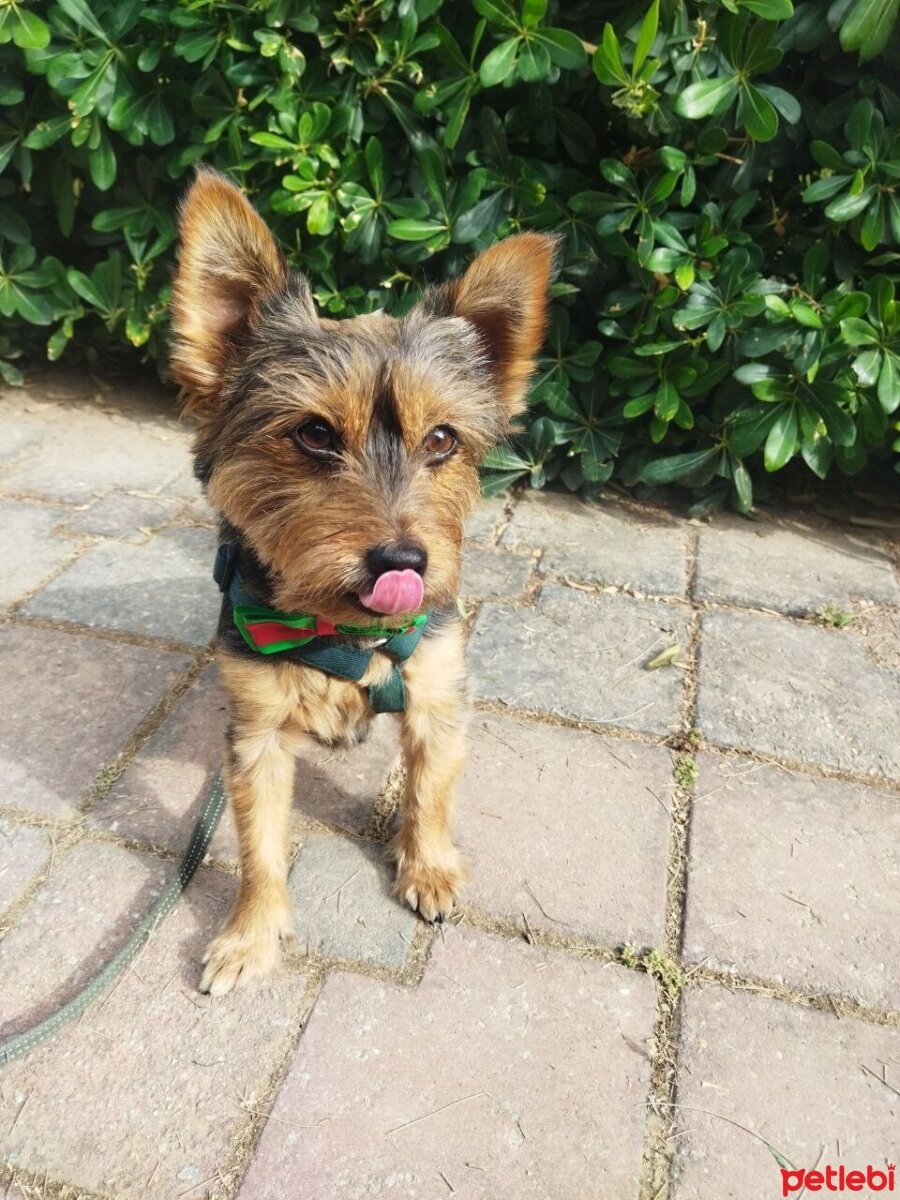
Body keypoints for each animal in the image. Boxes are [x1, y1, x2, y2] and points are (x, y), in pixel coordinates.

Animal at [169, 169, 556, 993]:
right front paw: (249, 935)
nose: (405, 564)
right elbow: (257, 843)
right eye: (315, 433)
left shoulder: (439, 692)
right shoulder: (255, 733)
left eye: (441, 439)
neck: (344, 630)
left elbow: (431, 790)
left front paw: (429, 867)